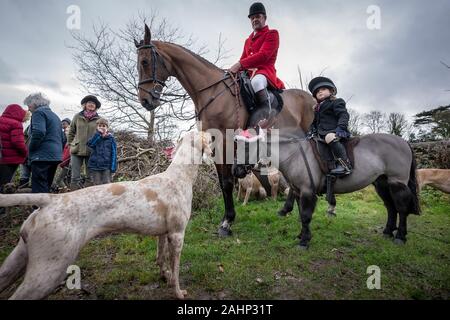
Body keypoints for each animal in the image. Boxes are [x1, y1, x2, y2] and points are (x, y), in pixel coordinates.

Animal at [0, 131, 213, 300]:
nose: (212, 135)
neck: (179, 175)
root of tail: (51, 199)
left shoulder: (163, 233)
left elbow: (161, 259)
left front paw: (164, 276)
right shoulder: (177, 235)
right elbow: (176, 270)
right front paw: (178, 292)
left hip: (18, 260)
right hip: (48, 271)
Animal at [135, 24, 314, 235]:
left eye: (145, 61)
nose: (145, 101)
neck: (211, 91)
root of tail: (310, 98)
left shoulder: (226, 141)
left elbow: (228, 181)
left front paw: (228, 221)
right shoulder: (213, 142)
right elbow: (222, 182)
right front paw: (226, 219)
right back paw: (287, 209)